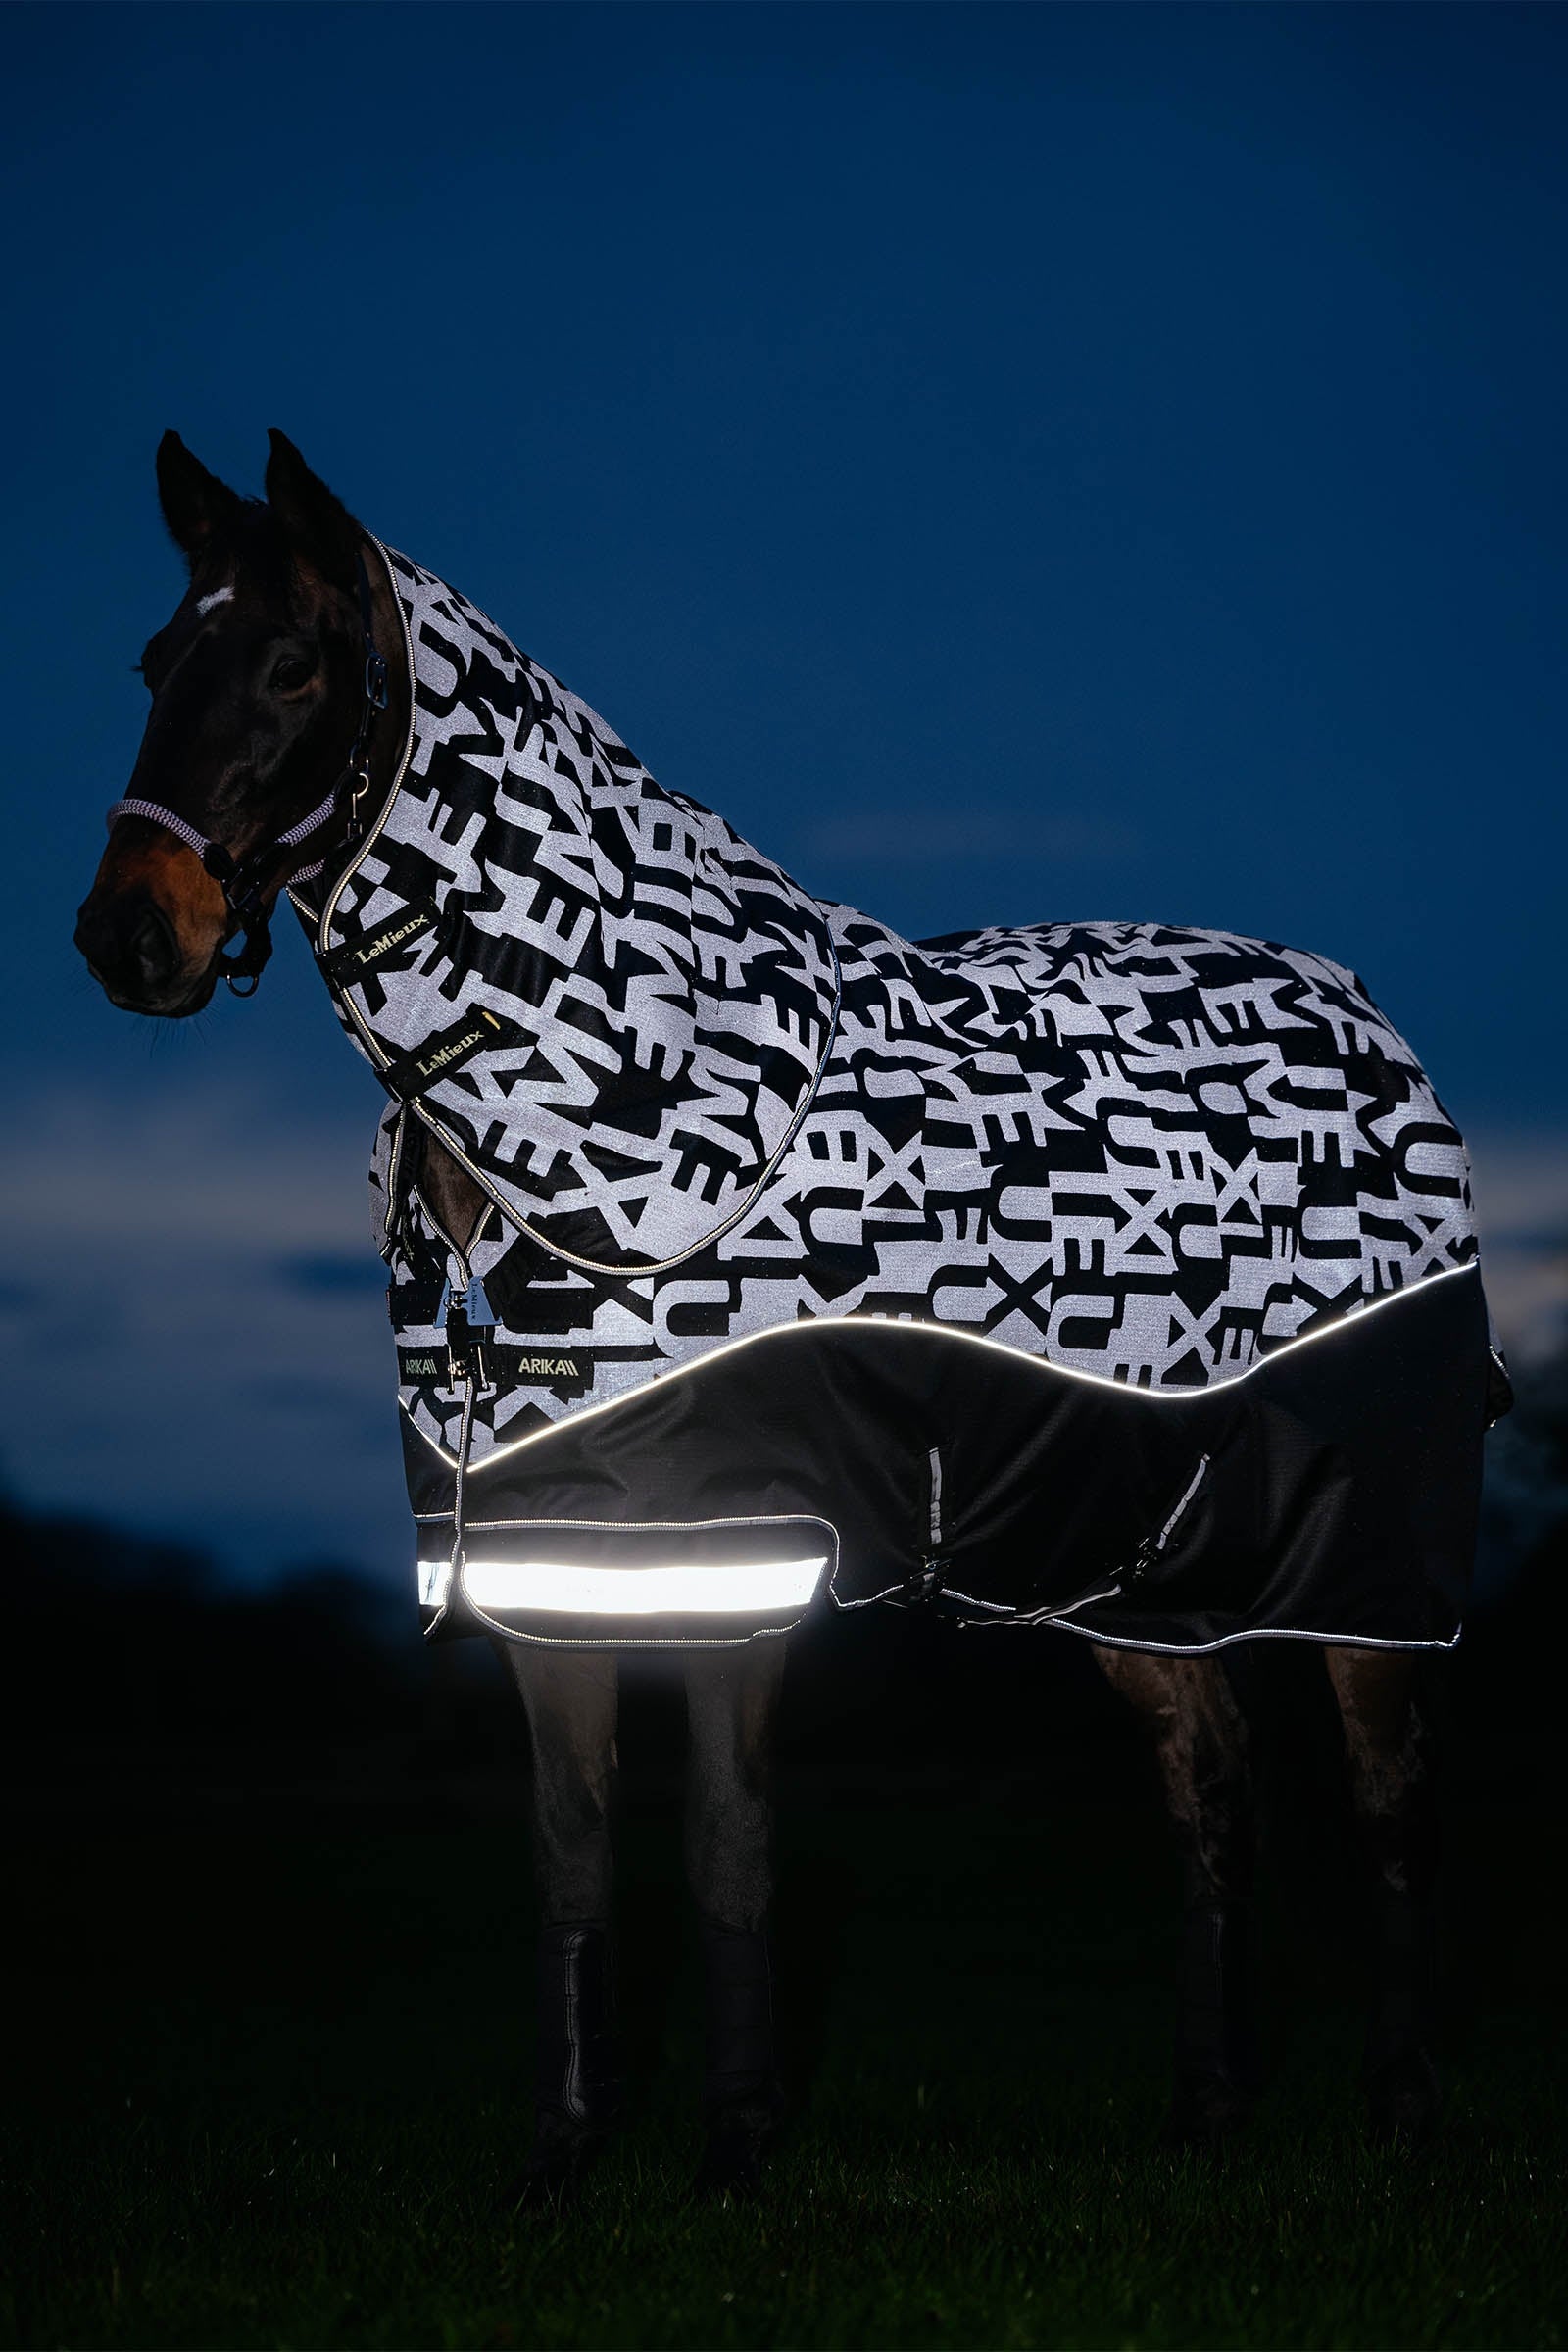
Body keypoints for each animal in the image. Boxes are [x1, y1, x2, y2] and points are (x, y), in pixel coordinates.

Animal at [76, 430, 1505, 2199]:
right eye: (155, 662)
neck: (610, 1125)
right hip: (1123, 1563)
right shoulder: (546, 1558)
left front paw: (739, 2145)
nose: (129, 937)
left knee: (1392, 1803)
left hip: (1357, 1547)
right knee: (1215, 1786)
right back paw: (1207, 2116)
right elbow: (572, 1852)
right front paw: (567, 2152)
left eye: (289, 664)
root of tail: (1372, 1025)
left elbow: (726, 1843)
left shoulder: (734, 1557)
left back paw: (1402, 2110)